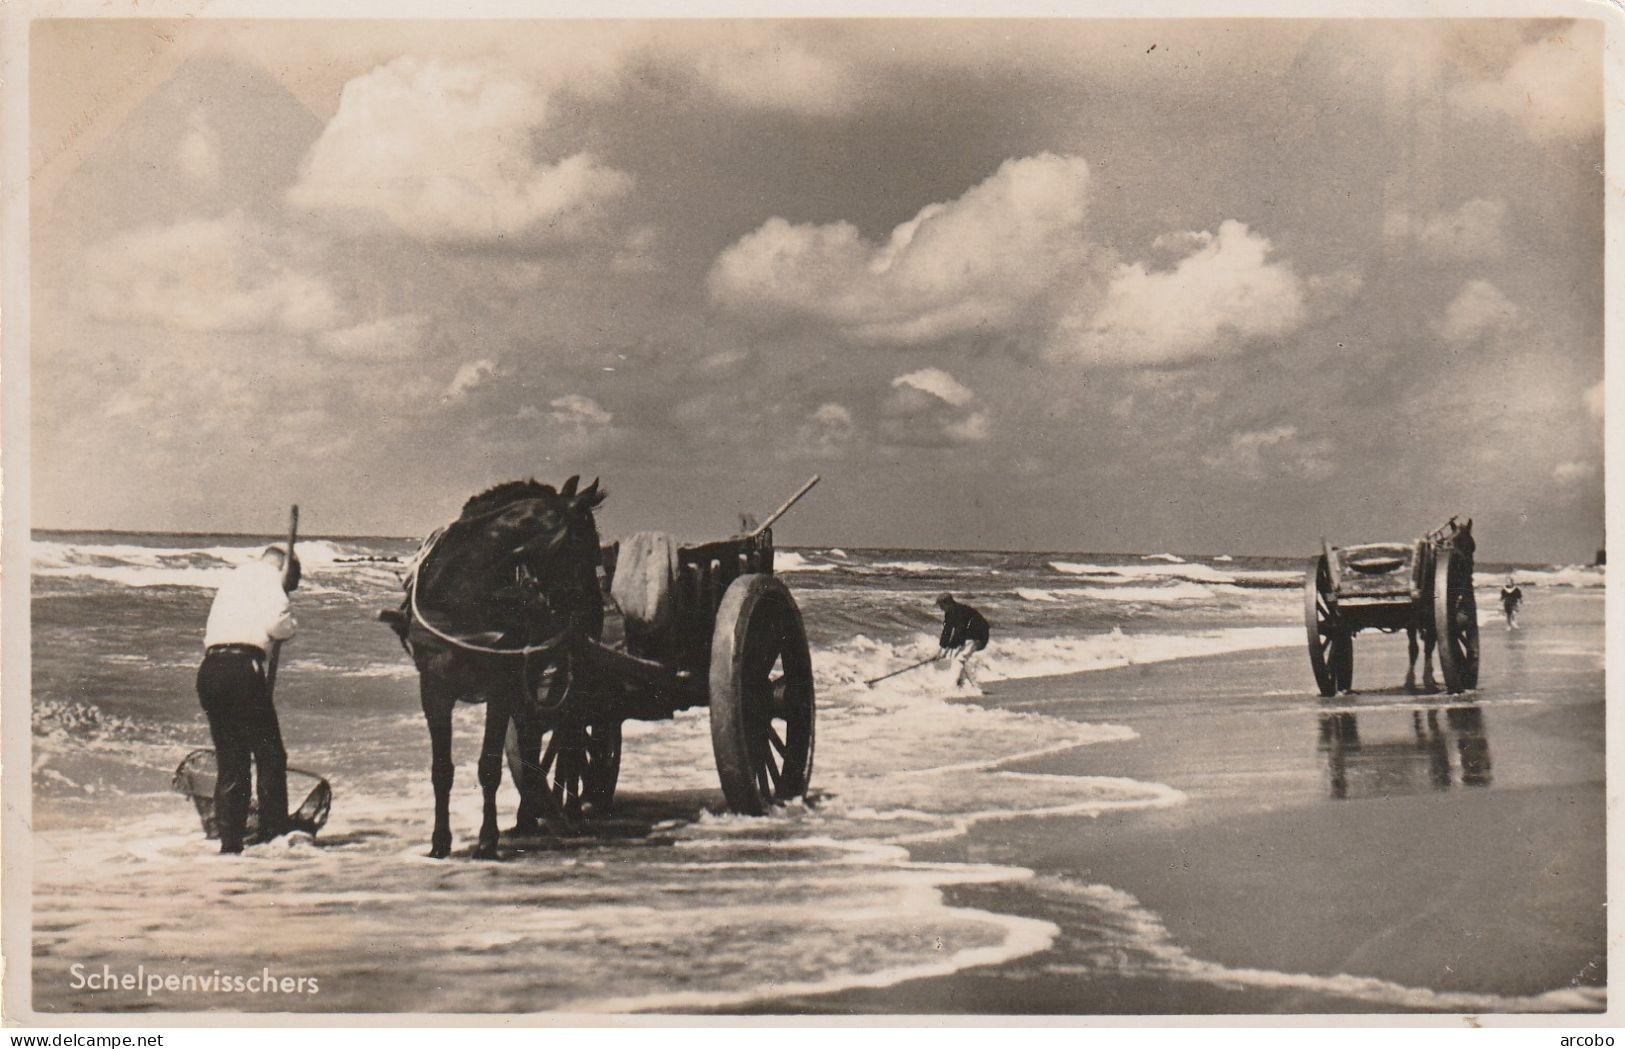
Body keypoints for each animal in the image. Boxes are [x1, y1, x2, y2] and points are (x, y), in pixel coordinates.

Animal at [383, 477, 607, 863]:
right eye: (589, 548)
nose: (596, 611)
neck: (463, 590)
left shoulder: (500, 688)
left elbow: (488, 767)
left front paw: (487, 840)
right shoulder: (434, 689)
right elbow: (441, 769)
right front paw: (440, 841)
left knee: (567, 739)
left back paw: (564, 810)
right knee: (532, 743)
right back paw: (528, 816)